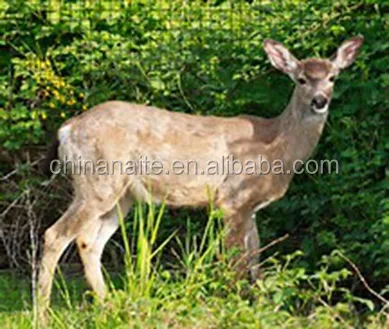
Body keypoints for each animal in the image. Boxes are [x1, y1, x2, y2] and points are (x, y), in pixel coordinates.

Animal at [38, 35, 362, 312]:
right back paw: (42, 314)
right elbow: (235, 262)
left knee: (88, 241)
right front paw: (235, 305)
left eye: (332, 77)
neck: (277, 147)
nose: (319, 100)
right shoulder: (231, 199)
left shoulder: (251, 208)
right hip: (97, 182)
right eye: (301, 79)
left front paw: (261, 304)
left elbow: (255, 258)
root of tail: (67, 129)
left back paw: (108, 305)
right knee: (55, 235)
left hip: (121, 196)